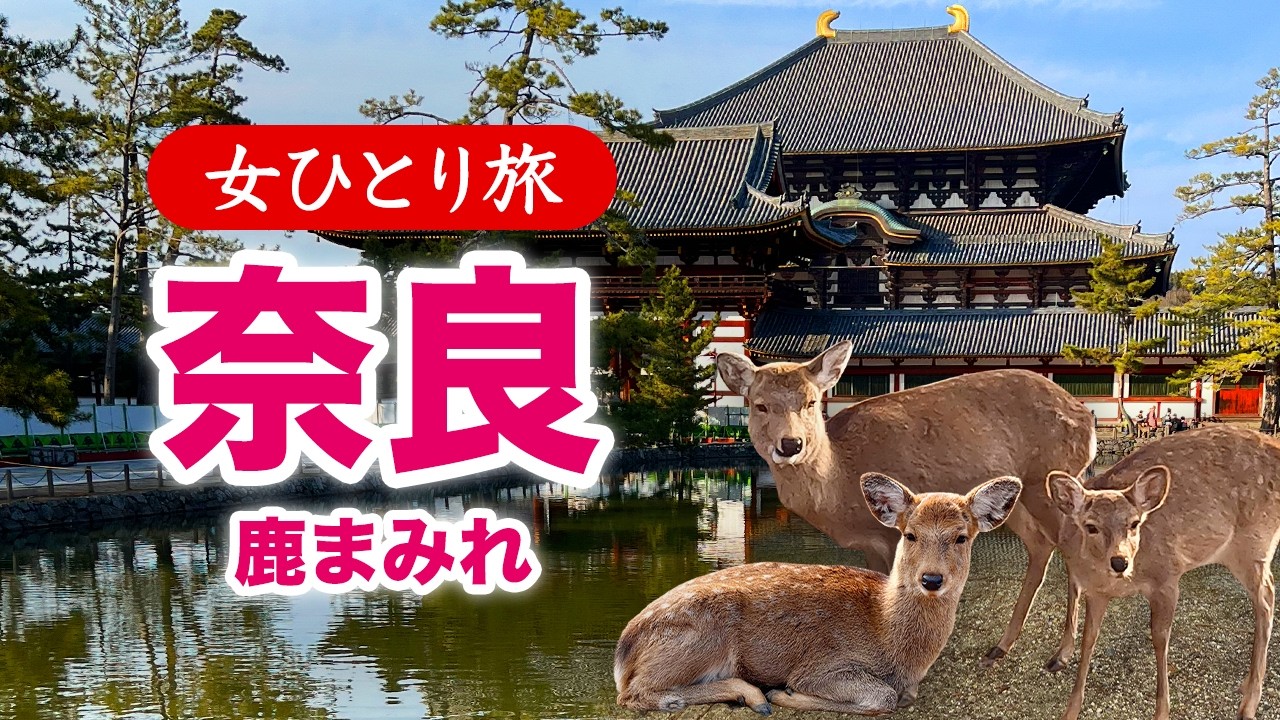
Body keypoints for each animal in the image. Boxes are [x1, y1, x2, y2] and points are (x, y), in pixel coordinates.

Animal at [614, 472, 1022, 715]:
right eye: (910, 535)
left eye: (961, 537)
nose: (932, 579)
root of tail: (624, 649)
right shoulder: (822, 665)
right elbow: (882, 696)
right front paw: (785, 694)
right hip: (699, 640)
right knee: (634, 694)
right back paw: (753, 696)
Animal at [715, 341, 1097, 666]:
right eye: (760, 405)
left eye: (811, 402)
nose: (791, 444)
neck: (841, 481)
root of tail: (1087, 421)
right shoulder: (871, 542)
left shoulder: (890, 534)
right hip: (1013, 498)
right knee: (1040, 543)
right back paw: (1001, 646)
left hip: (1047, 477)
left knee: (1069, 544)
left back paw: (1061, 655)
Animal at [1044, 424, 1280, 720]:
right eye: (1091, 526)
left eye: (1134, 523)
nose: (1120, 562)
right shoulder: (1095, 592)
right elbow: (1089, 639)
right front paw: (1071, 708)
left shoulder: (1167, 576)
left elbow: (1159, 639)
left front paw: (1162, 711)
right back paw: (1246, 687)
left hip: (1253, 544)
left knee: (1267, 598)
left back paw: (1248, 703)